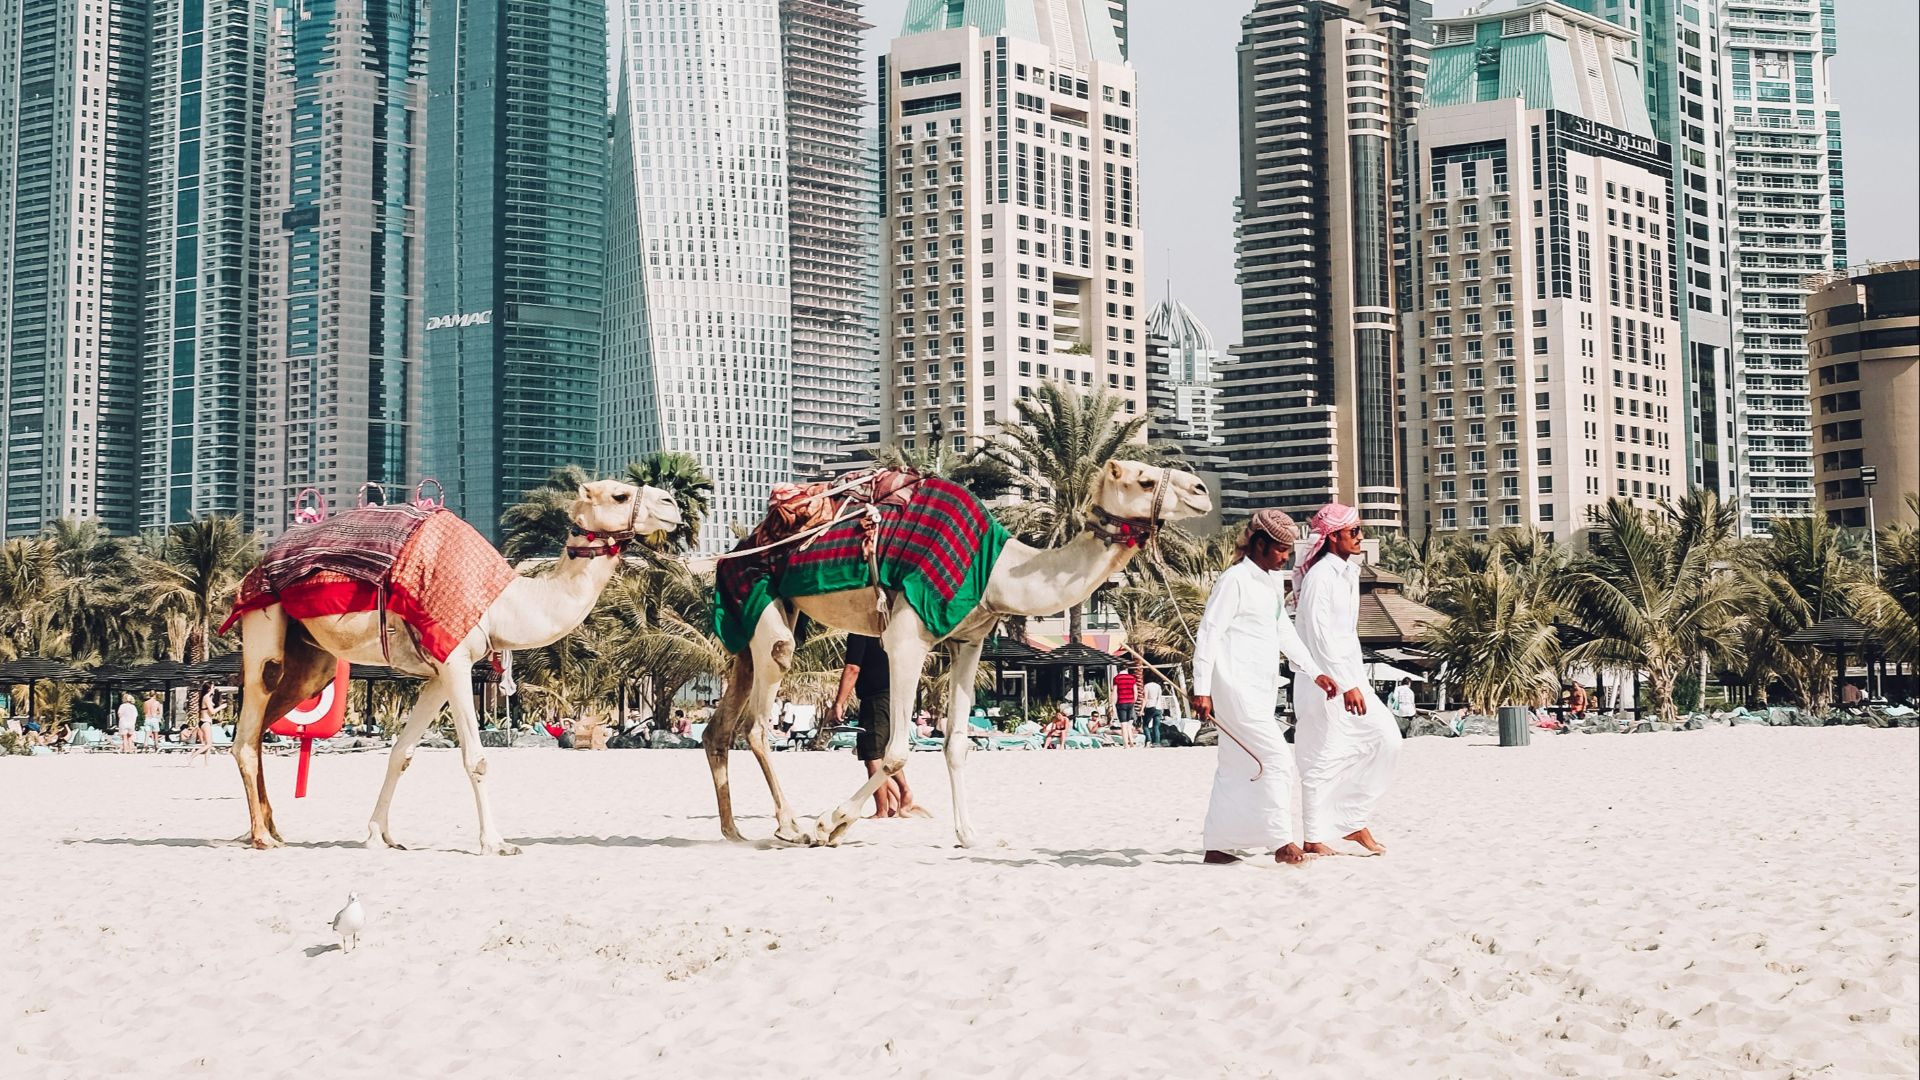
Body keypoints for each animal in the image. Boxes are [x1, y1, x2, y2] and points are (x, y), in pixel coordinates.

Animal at [229, 480, 683, 854]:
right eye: (620, 495)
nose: (672, 504)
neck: (503, 604)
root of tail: (254, 569)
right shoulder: (456, 660)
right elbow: (476, 759)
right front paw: (496, 843)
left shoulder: (438, 671)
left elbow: (402, 752)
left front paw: (380, 835)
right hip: (263, 621)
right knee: (248, 730)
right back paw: (261, 836)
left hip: (312, 660)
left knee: (268, 722)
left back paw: (272, 827)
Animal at [704, 460, 1211, 848]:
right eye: (1144, 480)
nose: (1202, 490)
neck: (996, 572)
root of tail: (735, 549)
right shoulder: (906, 637)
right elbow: (896, 751)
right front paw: (831, 823)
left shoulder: (970, 641)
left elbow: (957, 743)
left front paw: (968, 834)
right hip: (759, 597)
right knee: (758, 722)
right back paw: (791, 827)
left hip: (754, 619)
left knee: (719, 727)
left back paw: (733, 832)